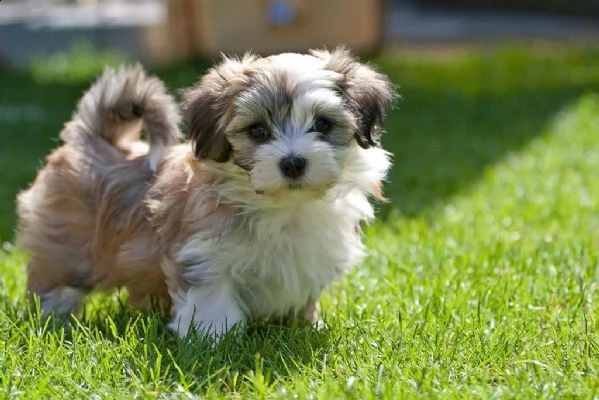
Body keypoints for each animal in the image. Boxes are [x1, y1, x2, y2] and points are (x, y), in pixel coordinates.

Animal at [16, 48, 396, 340]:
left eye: (322, 124)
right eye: (258, 131)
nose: (292, 163)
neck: (285, 207)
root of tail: (97, 141)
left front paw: (305, 326)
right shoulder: (203, 254)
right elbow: (213, 298)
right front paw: (214, 340)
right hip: (68, 244)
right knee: (56, 280)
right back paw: (53, 318)